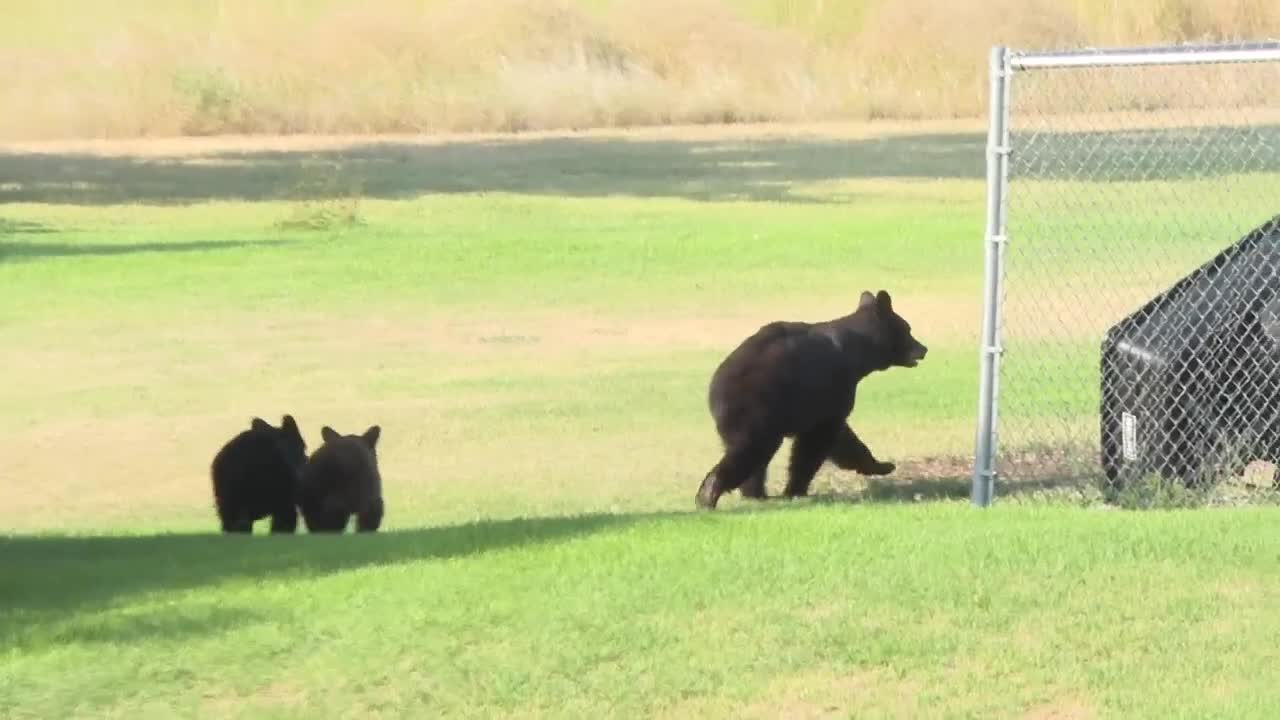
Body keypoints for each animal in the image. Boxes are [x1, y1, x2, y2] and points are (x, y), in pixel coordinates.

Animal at [695, 290, 928, 510]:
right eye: (908, 329)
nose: (923, 349)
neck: (857, 352)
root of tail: (717, 390)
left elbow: (841, 438)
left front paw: (882, 465)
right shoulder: (831, 387)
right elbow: (818, 440)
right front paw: (796, 489)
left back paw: (754, 493)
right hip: (758, 409)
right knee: (751, 449)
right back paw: (709, 493)